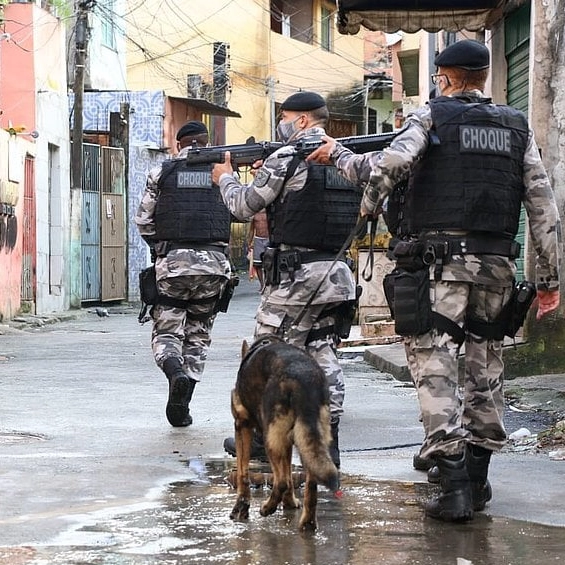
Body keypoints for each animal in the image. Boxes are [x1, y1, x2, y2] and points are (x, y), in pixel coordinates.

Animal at [228, 338, 340, 532]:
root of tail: (303, 379)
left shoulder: (242, 425)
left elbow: (243, 473)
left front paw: (241, 508)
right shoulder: (287, 441)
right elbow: (288, 471)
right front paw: (289, 502)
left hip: (270, 438)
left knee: (280, 481)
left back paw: (267, 507)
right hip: (309, 440)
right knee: (310, 485)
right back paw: (307, 523)